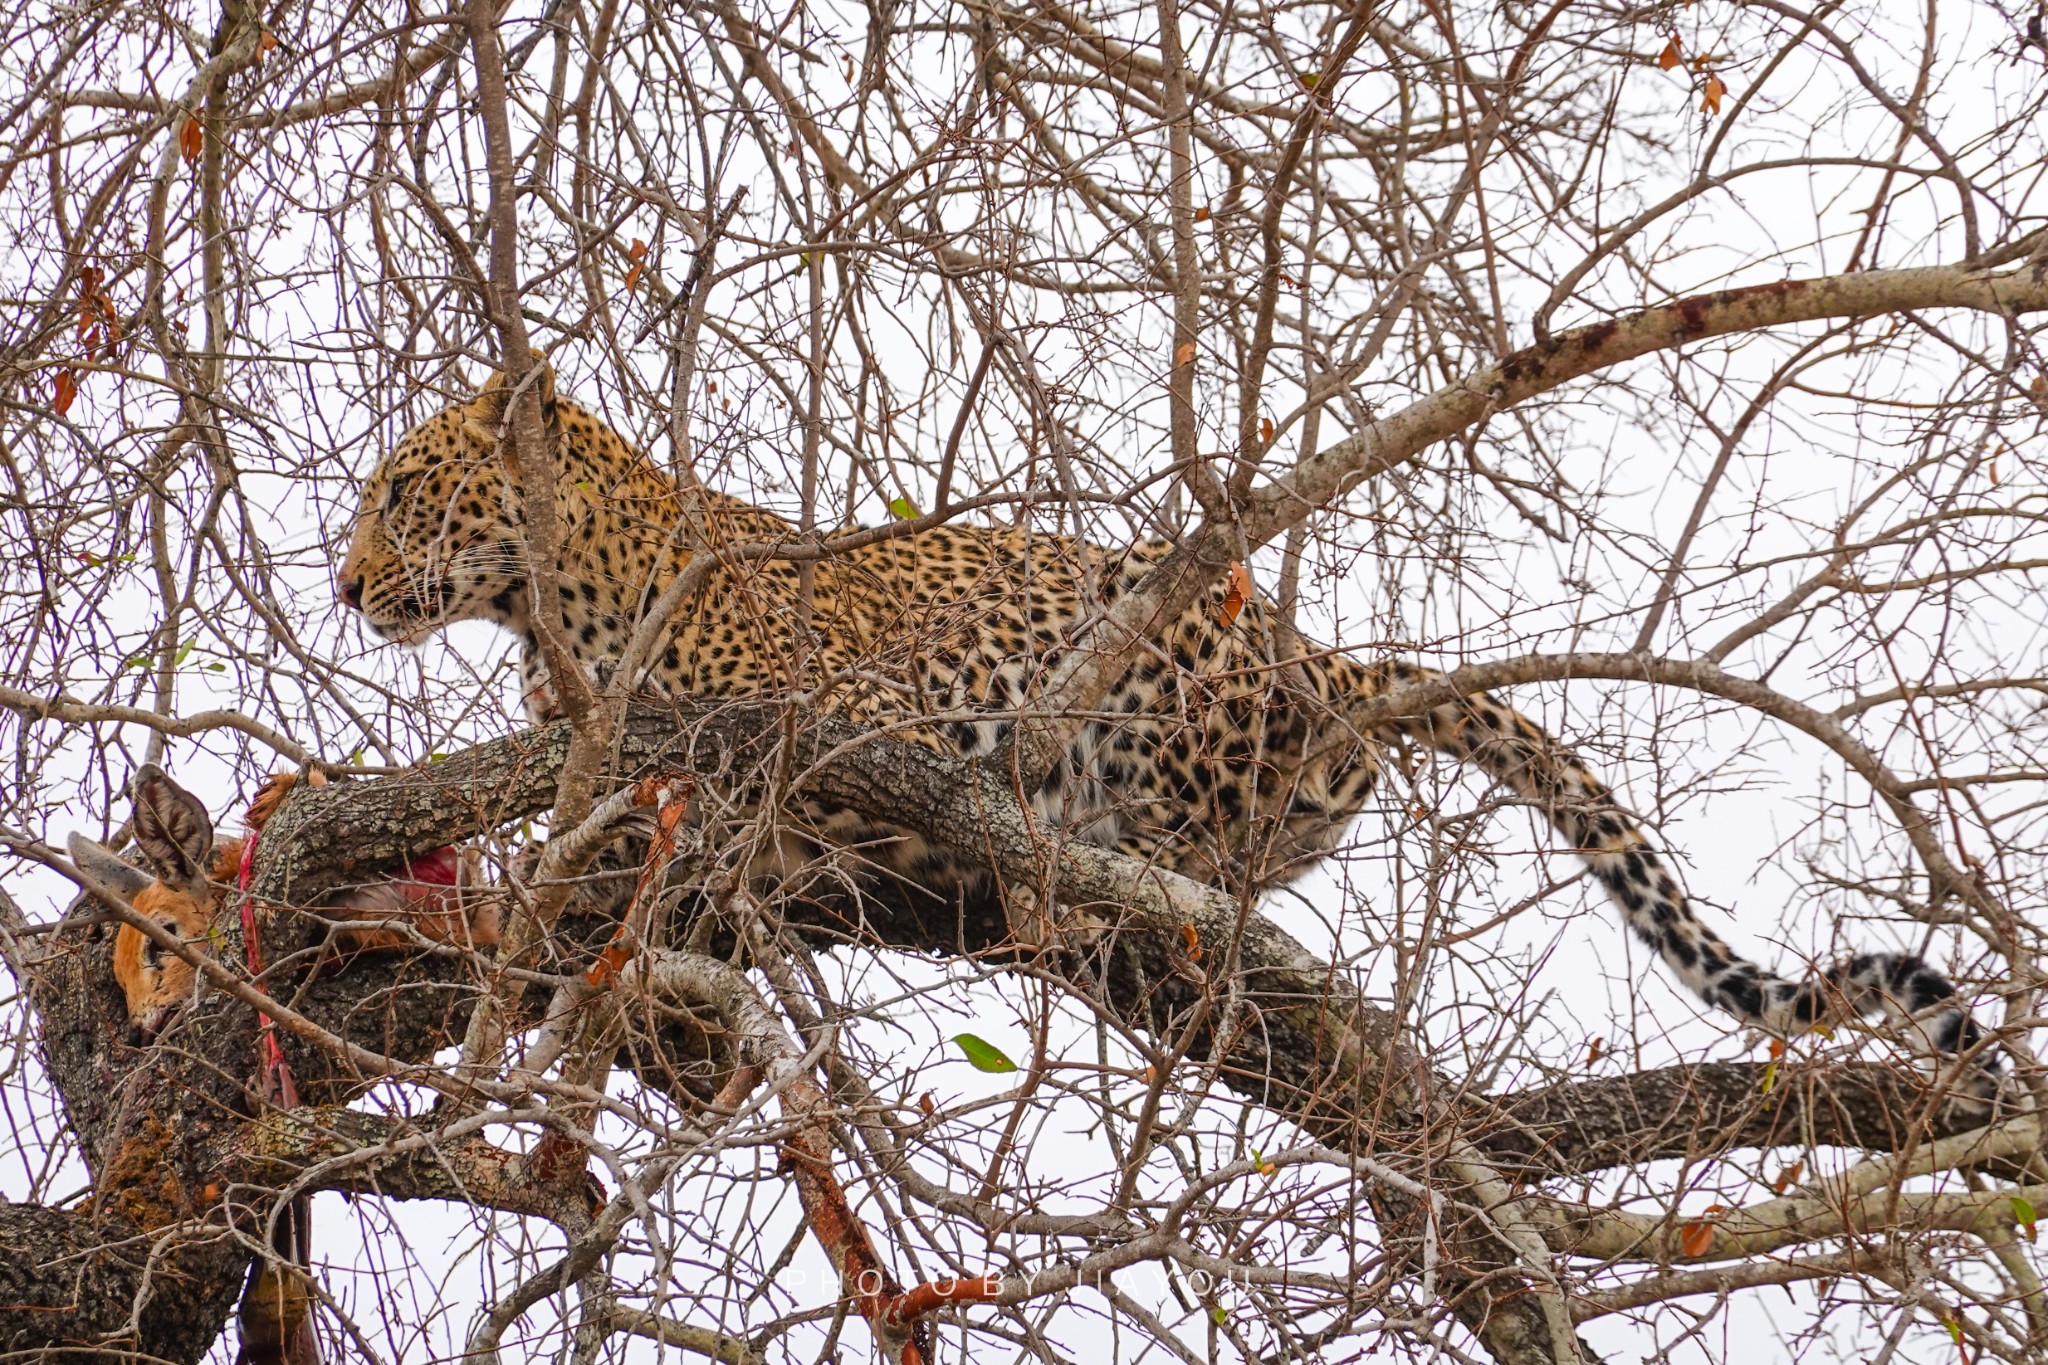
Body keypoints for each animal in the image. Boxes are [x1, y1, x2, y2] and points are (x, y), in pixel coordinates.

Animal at [339, 360, 1998, 1080]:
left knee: (1195, 851)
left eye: (407, 488)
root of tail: (1331, 659)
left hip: (1150, 649)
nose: (346, 581)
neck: (561, 608)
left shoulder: (861, 704)